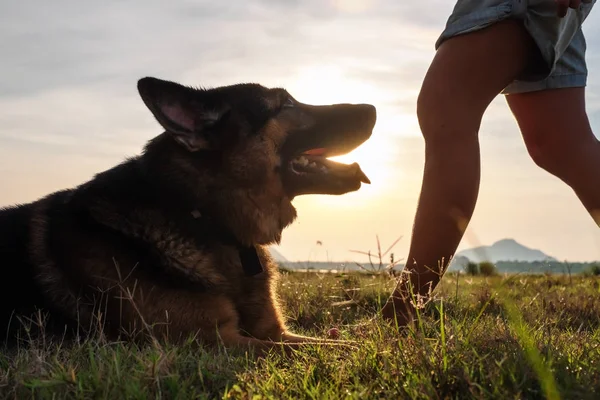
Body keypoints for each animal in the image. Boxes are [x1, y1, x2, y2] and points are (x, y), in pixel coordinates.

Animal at [0, 77, 376, 354]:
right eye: (285, 105)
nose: (373, 108)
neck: (204, 219)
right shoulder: (209, 342)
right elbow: (336, 350)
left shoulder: (275, 332)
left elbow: (340, 344)